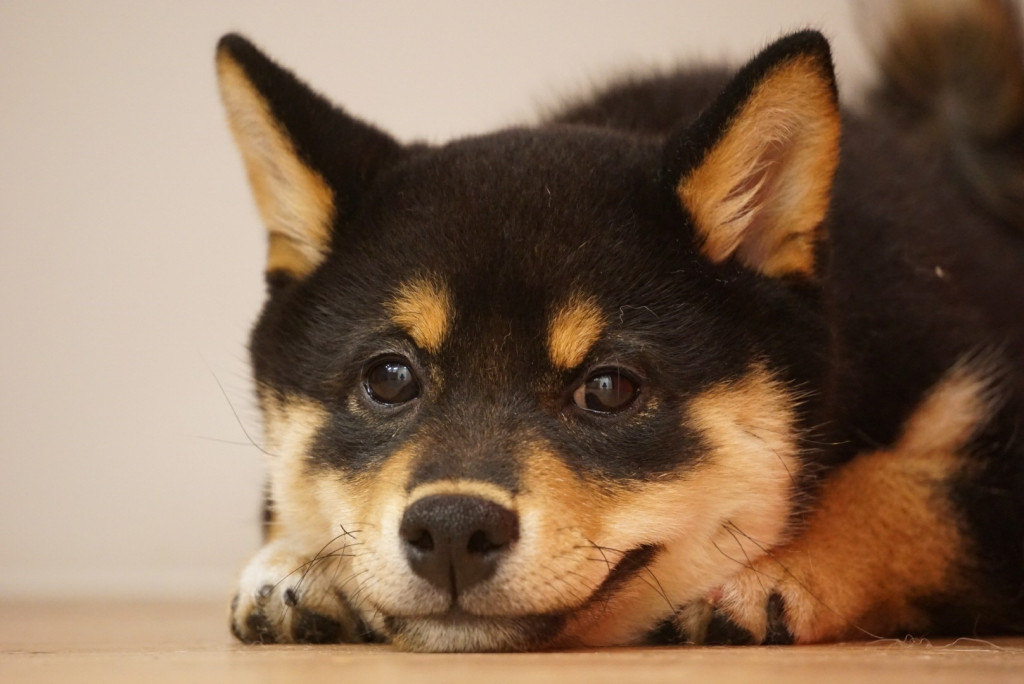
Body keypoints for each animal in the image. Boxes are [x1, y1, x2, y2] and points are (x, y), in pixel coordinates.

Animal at [216, 1, 1024, 651]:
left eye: (609, 389)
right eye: (388, 378)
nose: (450, 529)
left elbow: (904, 491)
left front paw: (787, 568)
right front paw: (298, 561)